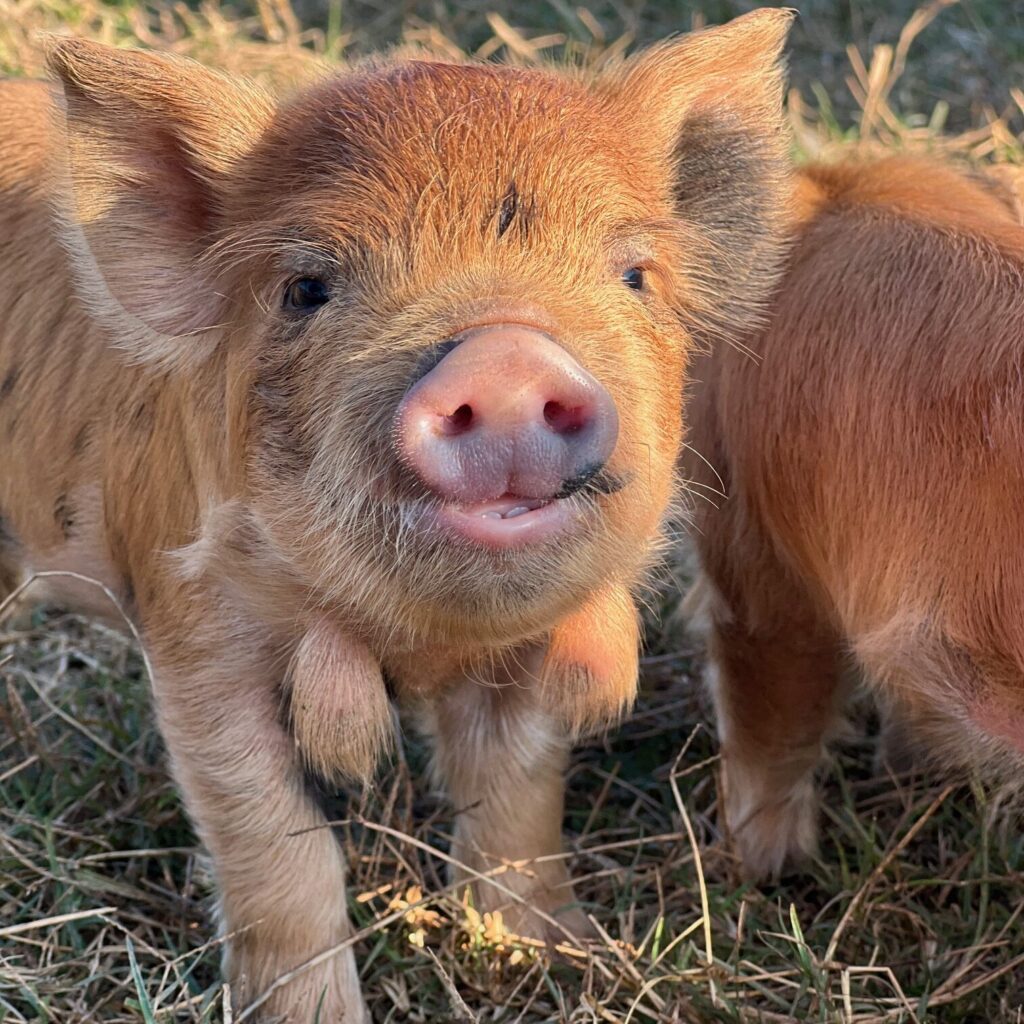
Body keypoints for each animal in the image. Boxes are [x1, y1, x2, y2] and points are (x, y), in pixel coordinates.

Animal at [0, 11, 792, 1020]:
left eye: (634, 276)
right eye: (306, 289)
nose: (504, 357)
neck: (428, 641)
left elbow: (519, 792)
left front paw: (542, 954)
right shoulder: (191, 625)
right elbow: (273, 838)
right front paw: (313, 1011)